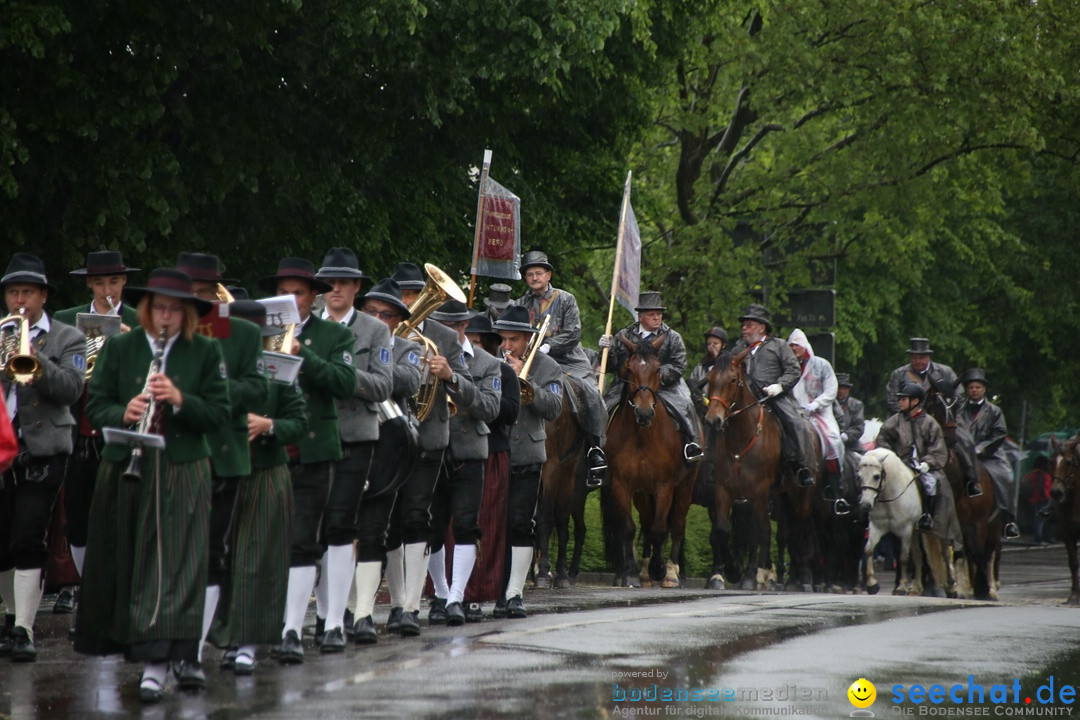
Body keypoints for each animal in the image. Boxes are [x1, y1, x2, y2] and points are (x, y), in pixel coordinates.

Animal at [600, 334, 699, 587]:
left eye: (657, 369)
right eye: (629, 369)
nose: (644, 413)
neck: (642, 438)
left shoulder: (665, 486)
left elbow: (659, 529)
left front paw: (660, 568)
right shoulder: (622, 484)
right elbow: (630, 528)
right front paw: (631, 574)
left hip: (685, 485)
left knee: (677, 525)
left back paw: (671, 573)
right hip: (643, 492)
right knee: (645, 523)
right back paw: (645, 572)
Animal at [704, 349, 781, 591]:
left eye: (732, 380)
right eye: (709, 379)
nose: (713, 420)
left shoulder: (758, 491)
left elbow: (755, 532)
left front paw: (749, 575)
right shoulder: (723, 490)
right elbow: (722, 530)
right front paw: (724, 573)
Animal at [855, 451, 950, 595]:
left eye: (876, 476)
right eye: (859, 477)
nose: (865, 505)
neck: (889, 499)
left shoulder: (905, 530)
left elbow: (903, 558)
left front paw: (901, 587)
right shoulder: (877, 527)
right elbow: (868, 550)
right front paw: (872, 585)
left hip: (936, 530)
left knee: (944, 554)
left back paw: (950, 586)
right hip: (916, 532)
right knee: (918, 555)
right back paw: (917, 587)